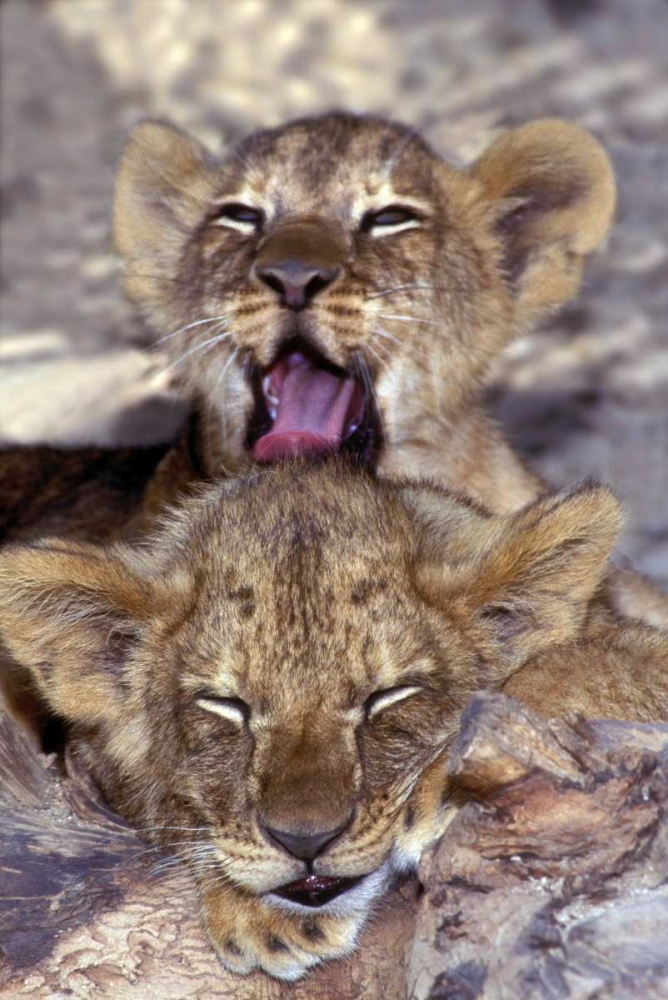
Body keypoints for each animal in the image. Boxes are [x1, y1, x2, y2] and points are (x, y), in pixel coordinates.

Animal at [1, 459, 665, 981]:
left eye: (387, 695)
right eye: (227, 706)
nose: (305, 842)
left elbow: (576, 662)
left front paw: (444, 782)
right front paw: (254, 906)